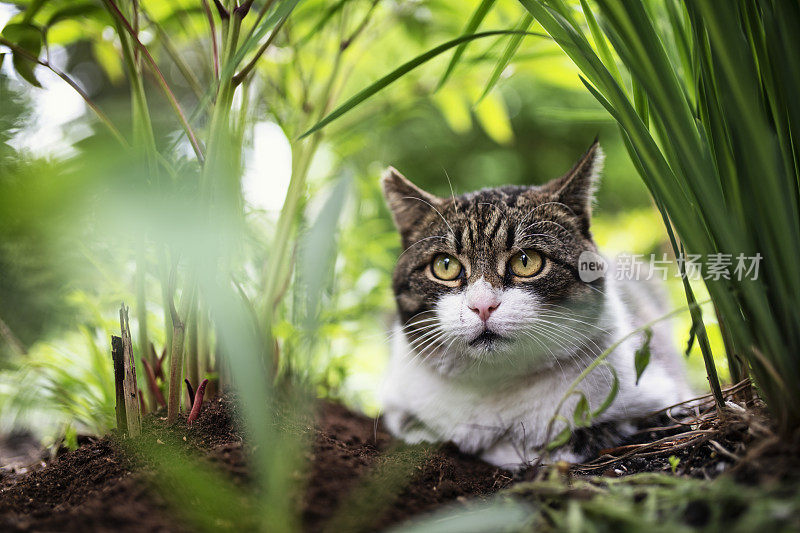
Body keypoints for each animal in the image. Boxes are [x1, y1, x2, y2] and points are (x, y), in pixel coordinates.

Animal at [378, 142, 692, 470]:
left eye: (526, 261)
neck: (497, 386)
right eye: (445, 265)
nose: (483, 306)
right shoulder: (398, 404)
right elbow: (422, 429)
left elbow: (582, 436)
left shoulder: (661, 398)